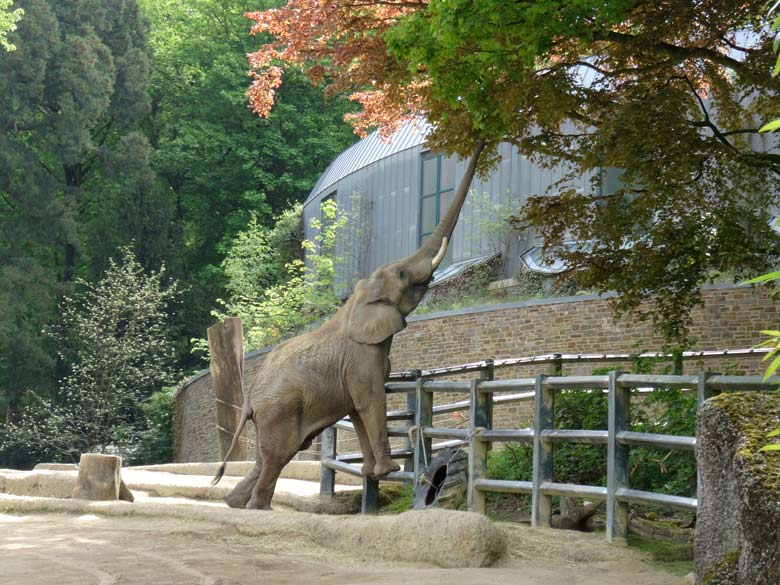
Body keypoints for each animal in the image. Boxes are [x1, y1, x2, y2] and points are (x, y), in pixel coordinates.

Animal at [210, 140, 484, 506]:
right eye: (402, 274)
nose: (484, 139)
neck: (355, 303)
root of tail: (249, 401)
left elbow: (356, 411)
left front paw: (373, 473)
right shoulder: (361, 359)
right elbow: (370, 402)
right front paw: (390, 471)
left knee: (268, 459)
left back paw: (234, 503)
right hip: (279, 410)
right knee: (277, 457)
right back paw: (257, 507)